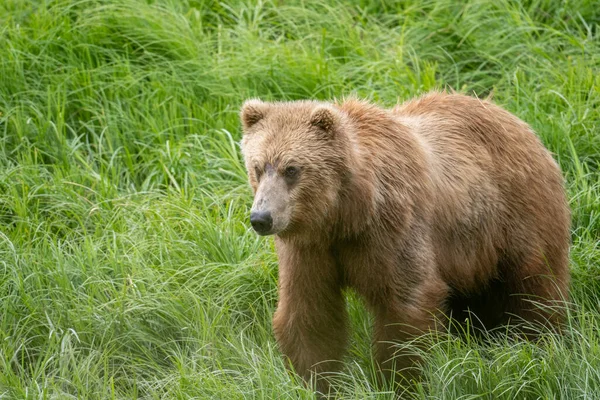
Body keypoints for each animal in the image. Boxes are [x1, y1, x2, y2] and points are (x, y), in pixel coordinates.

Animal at [238, 93, 568, 394]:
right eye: (258, 167)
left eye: (292, 169)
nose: (261, 218)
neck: (346, 215)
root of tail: (522, 124)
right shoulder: (311, 248)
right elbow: (309, 311)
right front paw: (317, 382)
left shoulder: (391, 228)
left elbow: (406, 303)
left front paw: (399, 380)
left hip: (517, 216)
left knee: (535, 285)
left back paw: (541, 340)